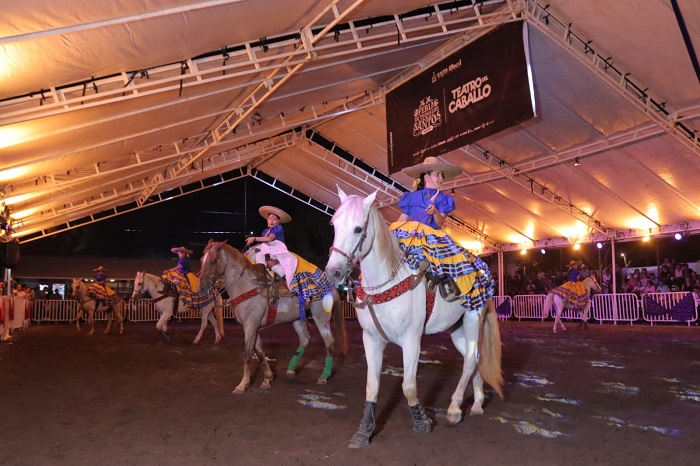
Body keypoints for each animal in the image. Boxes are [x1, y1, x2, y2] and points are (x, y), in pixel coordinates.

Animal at [326, 189, 500, 448]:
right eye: (334, 225)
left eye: (358, 229)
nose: (333, 272)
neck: (385, 282)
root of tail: (483, 268)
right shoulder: (371, 340)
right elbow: (372, 386)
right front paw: (364, 431)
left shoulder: (411, 340)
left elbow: (408, 386)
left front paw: (422, 422)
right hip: (456, 329)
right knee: (475, 358)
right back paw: (477, 403)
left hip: (472, 320)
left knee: (469, 361)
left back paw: (454, 409)